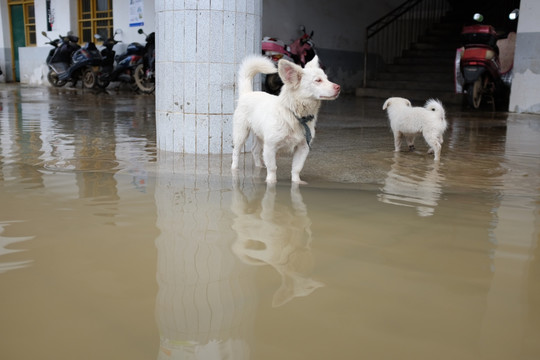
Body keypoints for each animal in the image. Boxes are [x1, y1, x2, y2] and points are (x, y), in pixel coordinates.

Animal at [232, 54, 342, 184]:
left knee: (254, 150)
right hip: (241, 133)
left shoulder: (303, 148)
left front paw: (297, 182)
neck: (296, 115)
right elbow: (272, 168)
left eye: (327, 79)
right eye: (318, 80)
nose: (338, 87)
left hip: (259, 135)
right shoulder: (270, 147)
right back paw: (234, 169)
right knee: (236, 151)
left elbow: (296, 168)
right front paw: (271, 182)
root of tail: (247, 93)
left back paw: (259, 167)